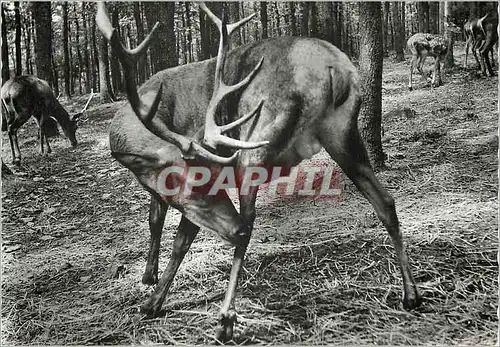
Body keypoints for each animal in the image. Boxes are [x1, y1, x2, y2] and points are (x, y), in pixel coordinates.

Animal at [95, 2, 420, 342]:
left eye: (209, 179)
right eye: (198, 182)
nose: (234, 229)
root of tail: (335, 69)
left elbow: (181, 239)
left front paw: (153, 301)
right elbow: (154, 220)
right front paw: (148, 275)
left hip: (256, 141)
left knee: (250, 222)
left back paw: (226, 317)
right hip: (343, 133)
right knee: (385, 201)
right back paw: (411, 293)